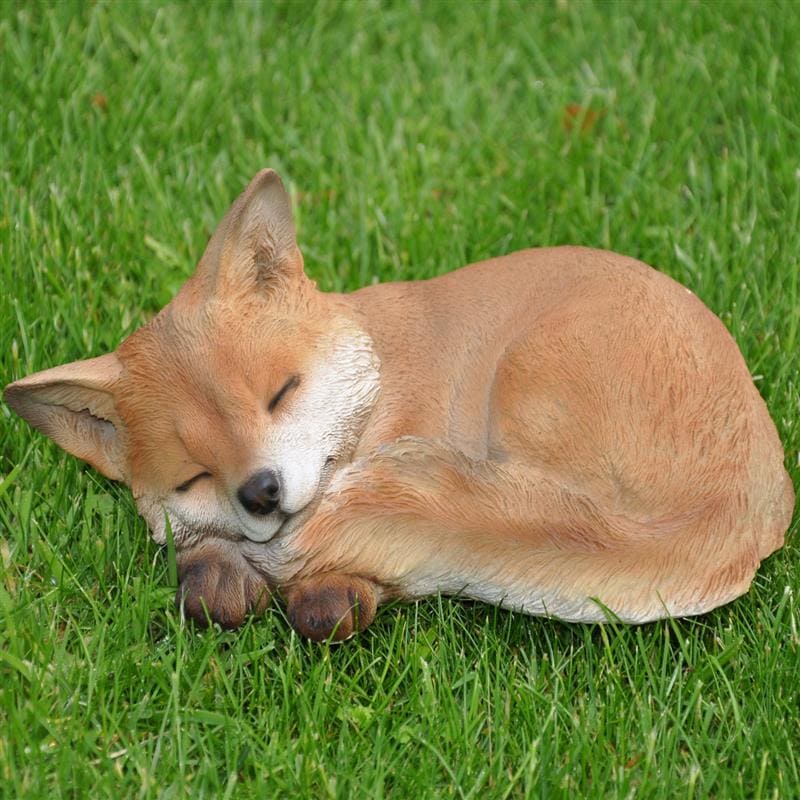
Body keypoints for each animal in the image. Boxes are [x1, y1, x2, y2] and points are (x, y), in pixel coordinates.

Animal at [4, 169, 795, 641]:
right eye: (194, 475)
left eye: (280, 393)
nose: (262, 493)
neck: (386, 383)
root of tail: (731, 509)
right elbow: (208, 577)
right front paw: (223, 572)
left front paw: (326, 588)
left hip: (527, 383)